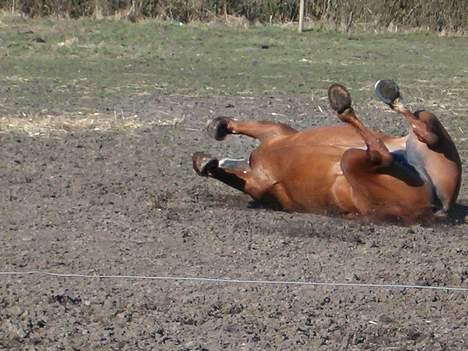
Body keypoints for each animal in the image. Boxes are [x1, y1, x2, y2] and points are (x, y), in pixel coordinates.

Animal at [192, 81, 462, 224]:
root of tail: (439, 208)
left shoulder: (275, 131)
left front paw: (218, 128)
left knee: (418, 132)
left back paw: (367, 99)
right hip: (358, 164)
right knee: (391, 150)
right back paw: (357, 102)